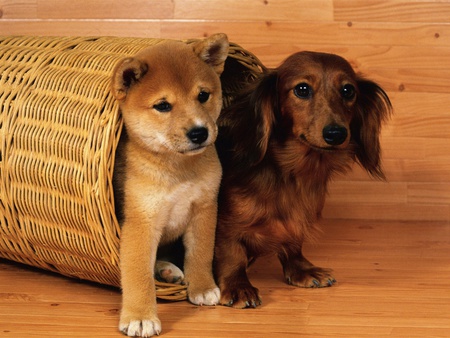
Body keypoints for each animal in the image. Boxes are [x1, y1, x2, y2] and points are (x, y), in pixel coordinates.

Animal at [110, 33, 227, 336]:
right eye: (163, 105)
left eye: (203, 95)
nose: (199, 132)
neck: (178, 170)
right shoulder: (141, 221)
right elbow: (138, 273)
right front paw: (140, 316)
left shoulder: (204, 208)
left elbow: (201, 252)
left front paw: (202, 287)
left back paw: (167, 270)